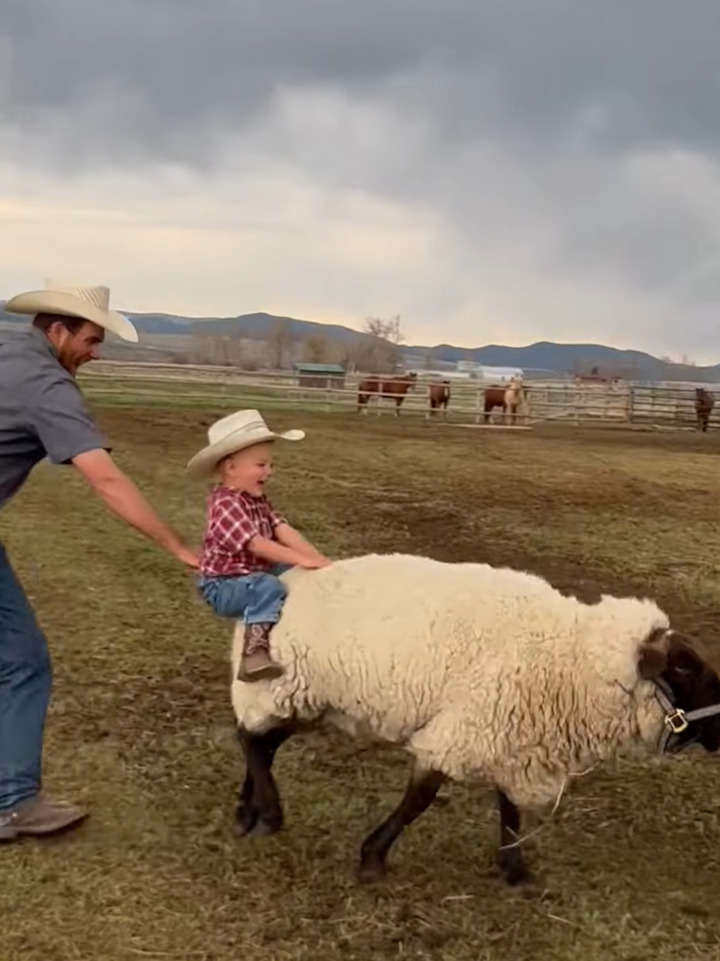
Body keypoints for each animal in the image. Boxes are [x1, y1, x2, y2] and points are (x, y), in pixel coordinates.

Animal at [228, 552, 720, 888]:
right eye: (683, 667)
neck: (569, 656)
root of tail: (281, 581)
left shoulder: (512, 736)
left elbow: (510, 809)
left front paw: (515, 871)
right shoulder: (460, 732)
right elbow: (419, 801)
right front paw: (372, 858)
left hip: (309, 700)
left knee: (263, 743)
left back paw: (248, 811)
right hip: (289, 687)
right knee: (249, 737)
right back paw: (268, 815)